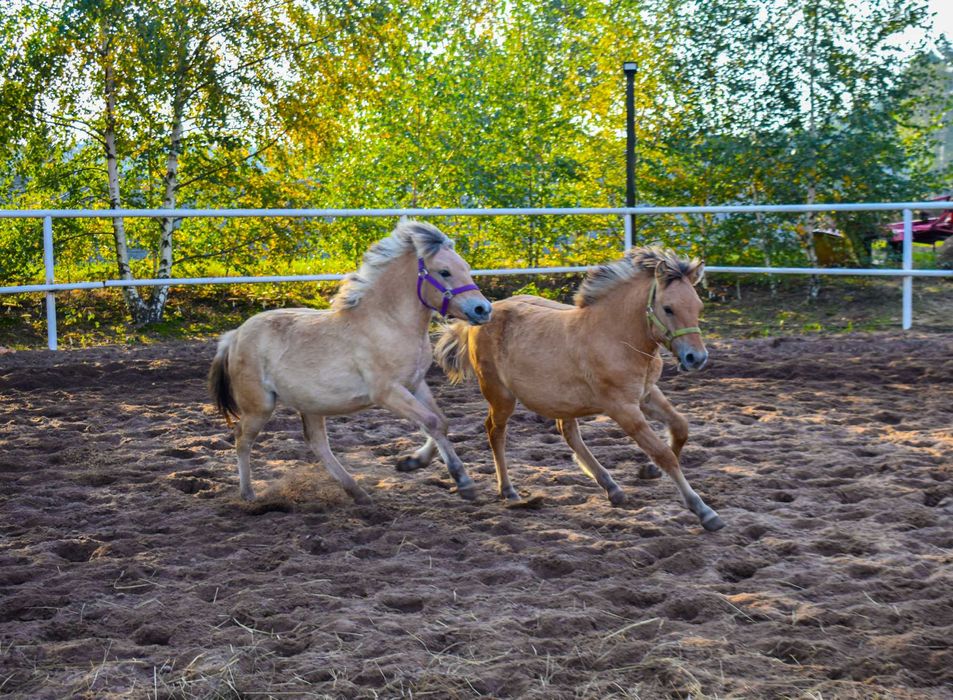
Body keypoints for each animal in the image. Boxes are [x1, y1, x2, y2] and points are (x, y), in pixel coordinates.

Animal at [208, 221, 490, 500]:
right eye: (444, 272)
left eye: (466, 268)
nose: (483, 309)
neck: (389, 323)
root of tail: (233, 336)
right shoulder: (388, 393)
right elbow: (431, 422)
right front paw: (462, 481)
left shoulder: (415, 384)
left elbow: (440, 422)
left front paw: (411, 462)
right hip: (260, 406)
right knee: (242, 438)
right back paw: (248, 495)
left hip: (310, 404)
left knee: (317, 443)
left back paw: (357, 492)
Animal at [432, 246, 720, 532]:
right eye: (668, 308)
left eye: (698, 306)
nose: (696, 358)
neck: (615, 337)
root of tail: (479, 317)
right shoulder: (623, 408)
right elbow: (664, 454)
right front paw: (704, 511)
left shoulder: (646, 395)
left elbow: (680, 427)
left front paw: (650, 470)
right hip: (500, 395)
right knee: (495, 431)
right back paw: (509, 491)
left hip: (560, 400)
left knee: (568, 432)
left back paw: (612, 487)